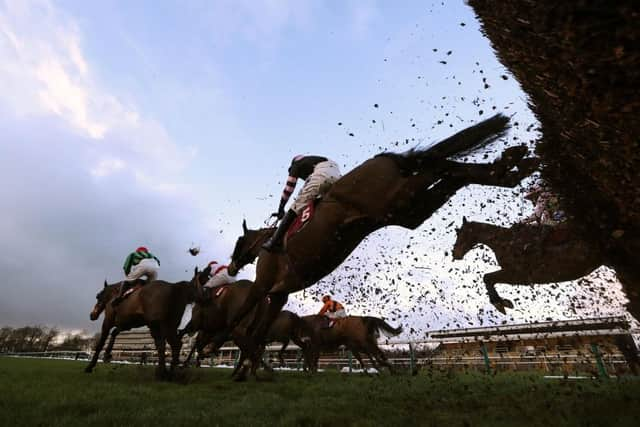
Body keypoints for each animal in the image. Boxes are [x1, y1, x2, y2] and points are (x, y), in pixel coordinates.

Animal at [221, 114, 540, 368]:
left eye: (238, 243)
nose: (233, 266)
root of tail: (383, 159)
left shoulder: (262, 287)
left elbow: (240, 322)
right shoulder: (279, 294)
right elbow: (258, 333)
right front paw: (246, 370)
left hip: (397, 198)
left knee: (437, 167)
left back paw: (511, 163)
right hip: (405, 210)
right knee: (449, 171)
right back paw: (510, 166)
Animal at [452, 219, 636, 316]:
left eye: (460, 233)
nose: (455, 253)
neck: (507, 242)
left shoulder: (517, 275)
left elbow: (487, 277)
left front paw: (500, 303)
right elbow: (488, 278)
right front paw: (503, 302)